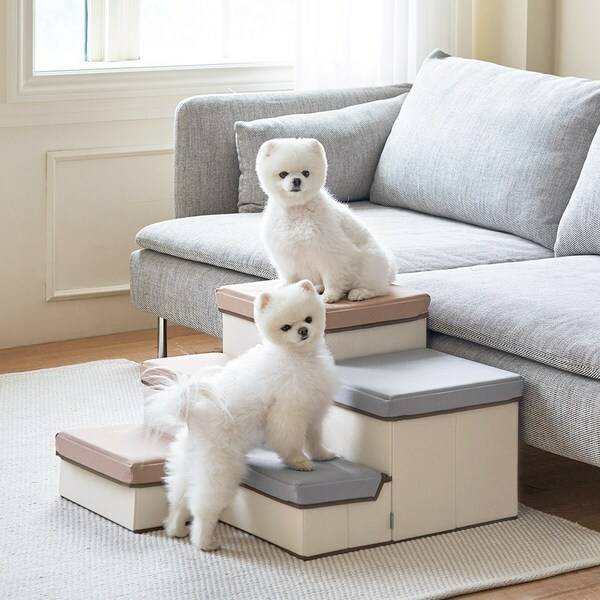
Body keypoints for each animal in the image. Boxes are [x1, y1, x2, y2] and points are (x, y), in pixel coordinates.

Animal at [144, 280, 337, 551]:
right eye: (285, 327)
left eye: (308, 318)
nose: (303, 330)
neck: (297, 357)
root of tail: (194, 414)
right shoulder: (289, 410)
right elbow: (289, 442)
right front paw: (299, 463)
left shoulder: (313, 411)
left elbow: (315, 439)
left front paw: (323, 455)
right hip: (220, 466)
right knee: (203, 507)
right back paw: (205, 542)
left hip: (186, 460)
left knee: (179, 497)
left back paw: (175, 528)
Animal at [257, 138, 397, 303]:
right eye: (283, 174)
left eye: (306, 173)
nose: (297, 180)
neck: (296, 209)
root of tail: (390, 271)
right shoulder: (286, 255)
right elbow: (290, 277)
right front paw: (287, 288)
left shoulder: (330, 254)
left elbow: (332, 277)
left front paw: (330, 295)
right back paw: (317, 286)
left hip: (369, 263)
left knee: (380, 289)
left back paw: (360, 292)